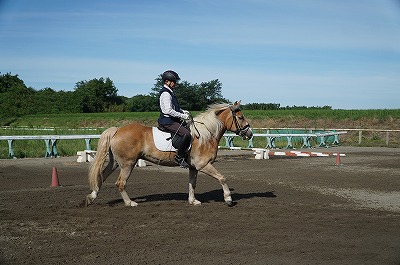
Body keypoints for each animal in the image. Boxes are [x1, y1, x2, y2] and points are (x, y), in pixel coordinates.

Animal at [85, 100, 253, 205]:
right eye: (240, 117)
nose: (250, 134)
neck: (206, 135)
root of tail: (117, 130)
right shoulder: (203, 165)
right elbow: (222, 178)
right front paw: (228, 199)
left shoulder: (193, 167)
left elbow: (192, 183)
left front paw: (193, 201)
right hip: (128, 164)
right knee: (120, 183)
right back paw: (130, 203)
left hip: (116, 162)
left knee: (101, 177)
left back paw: (91, 197)